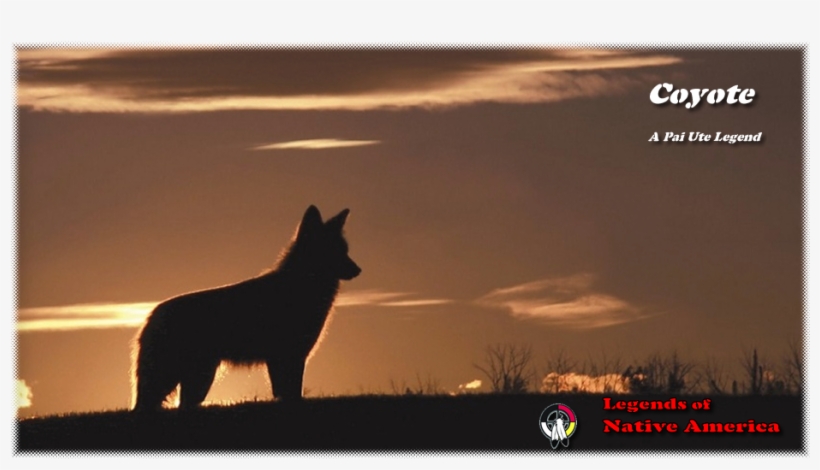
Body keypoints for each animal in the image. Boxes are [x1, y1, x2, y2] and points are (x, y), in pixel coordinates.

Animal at [132, 205, 360, 411]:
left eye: (345, 251)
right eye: (335, 251)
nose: (358, 270)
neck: (300, 285)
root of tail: (153, 314)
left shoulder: (287, 357)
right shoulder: (288, 357)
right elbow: (291, 393)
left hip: (199, 379)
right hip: (175, 377)